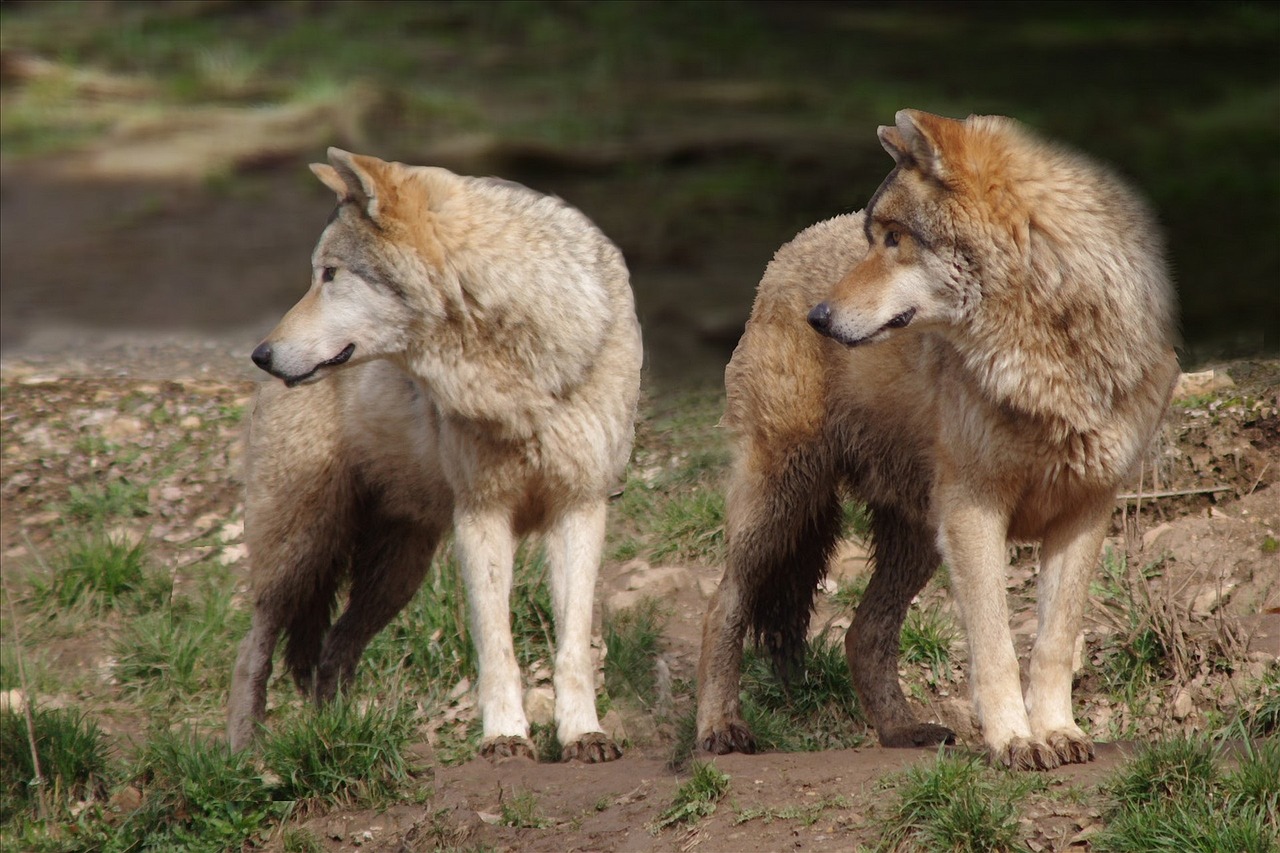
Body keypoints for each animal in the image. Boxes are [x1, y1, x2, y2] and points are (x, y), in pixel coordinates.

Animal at [226, 144, 645, 758]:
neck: (521, 379)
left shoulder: (580, 507)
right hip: (302, 547)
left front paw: (582, 734)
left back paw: (336, 733)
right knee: (253, 647)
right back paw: (245, 753)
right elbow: (496, 644)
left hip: (398, 571)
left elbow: (572, 645)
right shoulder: (482, 514)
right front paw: (504, 736)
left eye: (331, 275)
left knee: (335, 646)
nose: (262, 355)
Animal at [701, 109, 1177, 768]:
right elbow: (996, 646)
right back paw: (718, 728)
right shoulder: (976, 510)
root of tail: (784, 252)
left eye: (893, 239)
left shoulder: (1085, 511)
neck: (1048, 359)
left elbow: (1053, 642)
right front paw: (1014, 741)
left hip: (916, 534)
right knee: (722, 607)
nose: (818, 318)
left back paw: (902, 731)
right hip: (783, 504)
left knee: (863, 633)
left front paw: (1058, 732)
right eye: (876, 237)